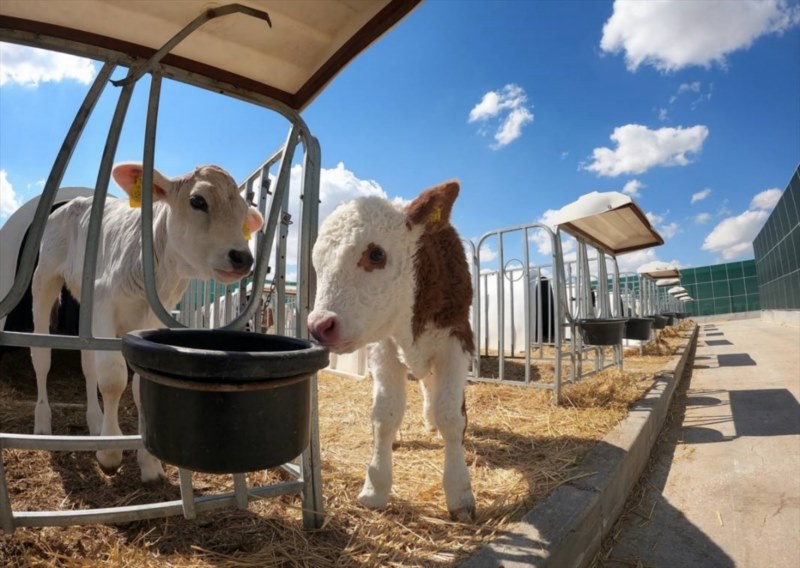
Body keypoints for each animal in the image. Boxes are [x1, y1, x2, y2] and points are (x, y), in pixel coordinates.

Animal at [32, 162, 262, 482]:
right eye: (198, 201)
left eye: (242, 214)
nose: (243, 257)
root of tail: (72, 203)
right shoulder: (105, 302)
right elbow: (113, 378)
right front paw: (110, 454)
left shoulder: (153, 320)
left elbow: (141, 385)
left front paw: (150, 464)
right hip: (45, 280)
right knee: (42, 356)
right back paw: (43, 423)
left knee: (88, 364)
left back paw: (95, 422)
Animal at [306, 183, 476, 524]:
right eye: (317, 262)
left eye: (376, 254)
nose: (319, 326)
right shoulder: (383, 348)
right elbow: (384, 415)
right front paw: (375, 489)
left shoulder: (457, 340)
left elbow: (451, 416)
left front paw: (460, 493)